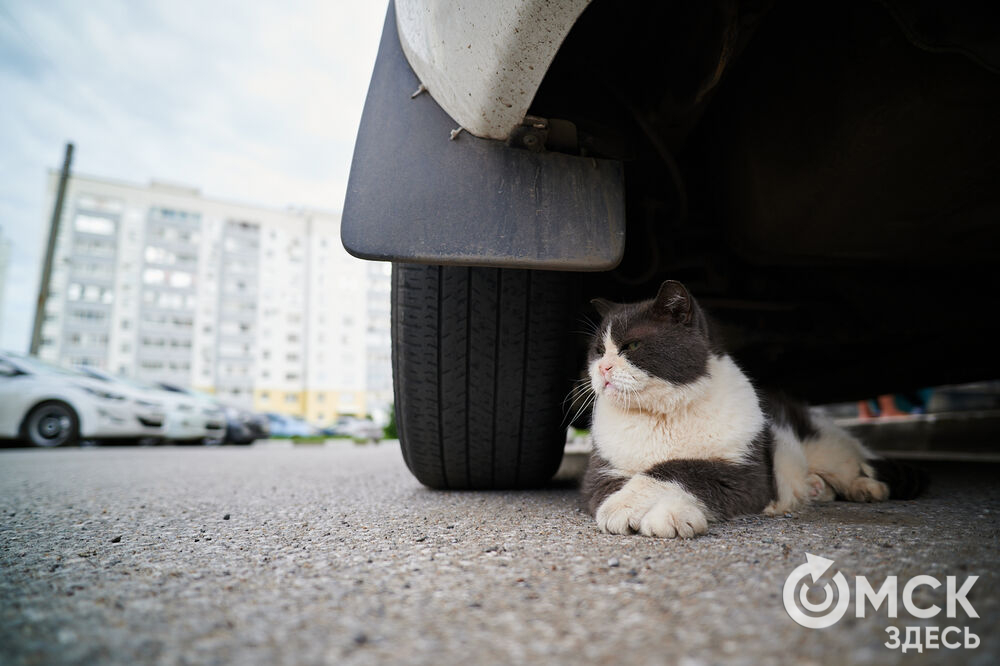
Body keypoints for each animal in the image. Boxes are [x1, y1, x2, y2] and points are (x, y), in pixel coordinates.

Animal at [584, 278, 924, 536]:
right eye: (598, 350)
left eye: (632, 346)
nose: (602, 368)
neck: (662, 414)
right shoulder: (601, 474)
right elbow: (622, 483)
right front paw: (628, 507)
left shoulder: (742, 476)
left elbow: (678, 470)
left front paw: (667, 514)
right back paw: (813, 488)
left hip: (823, 445)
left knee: (853, 464)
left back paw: (866, 488)